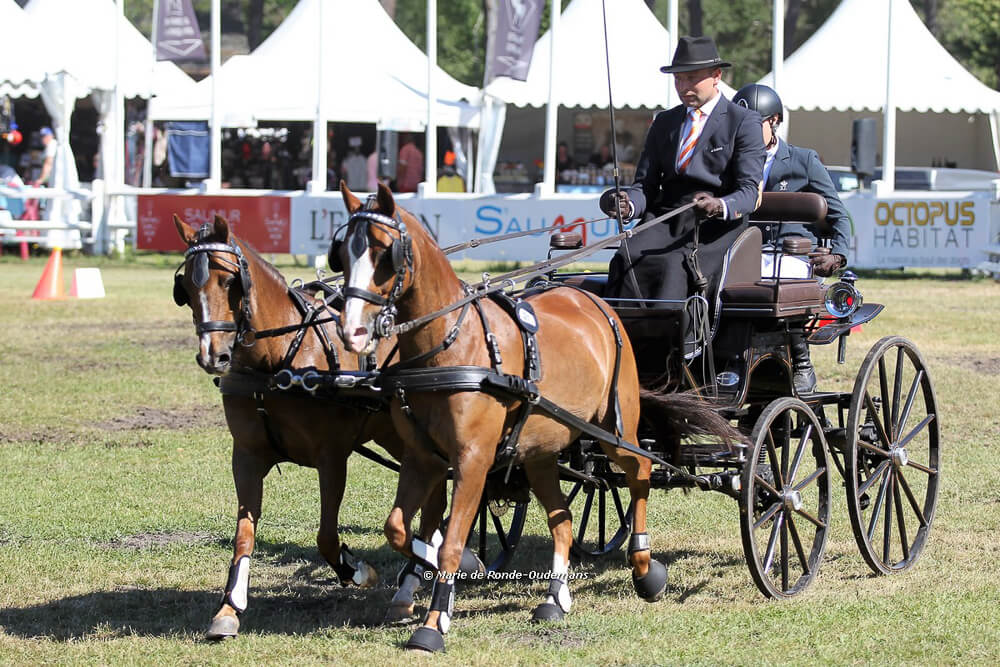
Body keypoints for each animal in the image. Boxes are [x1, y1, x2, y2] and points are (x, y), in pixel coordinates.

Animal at [174, 217, 452, 640]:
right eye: (186, 286)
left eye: (228, 281)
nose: (213, 356)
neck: (277, 362)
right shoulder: (246, 456)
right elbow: (243, 534)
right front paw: (228, 609)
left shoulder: (332, 456)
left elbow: (326, 536)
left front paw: (357, 570)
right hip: (397, 435)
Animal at [332, 185, 732, 656]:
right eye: (343, 253)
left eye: (384, 253)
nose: (352, 332)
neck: (450, 344)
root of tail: (594, 300)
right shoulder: (422, 458)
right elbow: (398, 528)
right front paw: (450, 573)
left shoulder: (472, 459)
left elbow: (449, 543)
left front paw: (433, 622)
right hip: (541, 452)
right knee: (562, 518)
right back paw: (555, 598)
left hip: (616, 428)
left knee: (640, 473)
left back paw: (645, 568)